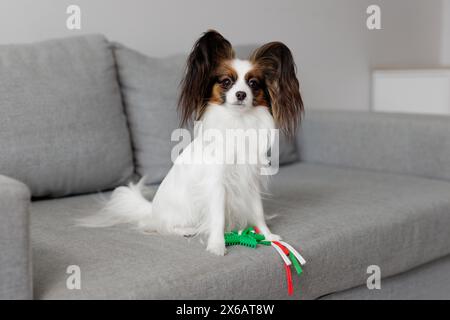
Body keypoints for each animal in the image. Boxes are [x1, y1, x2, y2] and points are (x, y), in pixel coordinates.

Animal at [81, 30, 306, 255]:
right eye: (226, 82)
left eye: (253, 84)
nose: (241, 94)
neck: (237, 122)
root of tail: (152, 210)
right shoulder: (216, 183)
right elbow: (218, 216)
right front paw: (217, 245)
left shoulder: (250, 180)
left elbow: (257, 211)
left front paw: (268, 235)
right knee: (161, 227)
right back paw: (186, 230)